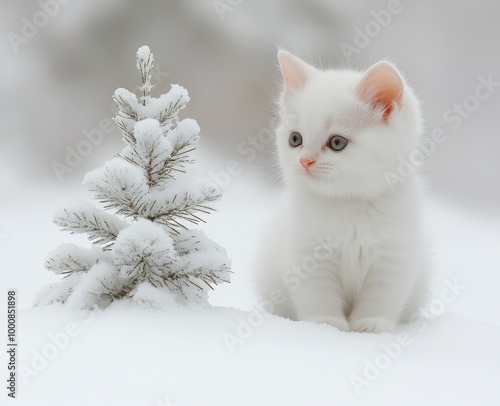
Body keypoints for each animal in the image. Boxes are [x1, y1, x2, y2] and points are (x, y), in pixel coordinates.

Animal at [256, 51, 428, 334]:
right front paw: (325, 323)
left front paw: (372, 323)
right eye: (295, 139)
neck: (350, 203)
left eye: (337, 142)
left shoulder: (394, 255)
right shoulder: (306, 254)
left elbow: (383, 295)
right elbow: (317, 293)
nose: (305, 161)